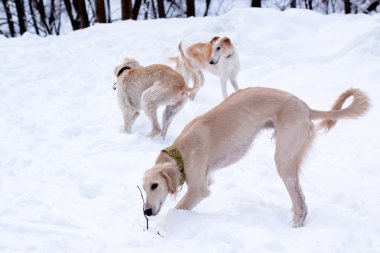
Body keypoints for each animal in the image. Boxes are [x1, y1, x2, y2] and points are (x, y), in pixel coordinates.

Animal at [142, 87, 368, 227]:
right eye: (143, 188)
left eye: (155, 185)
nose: (146, 212)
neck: (180, 152)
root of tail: (305, 108)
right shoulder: (207, 178)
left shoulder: (199, 190)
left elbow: (177, 208)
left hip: (284, 160)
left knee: (301, 205)